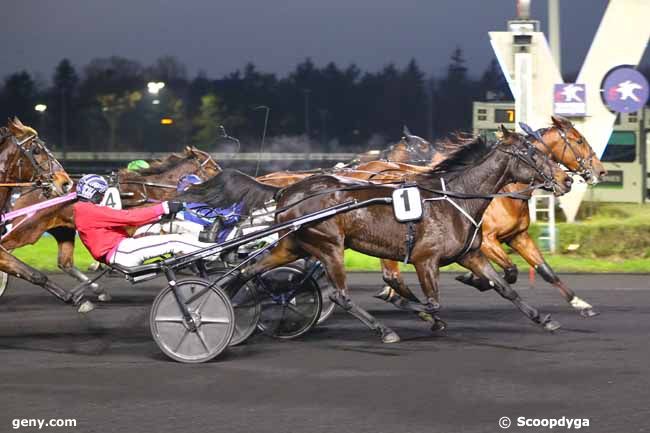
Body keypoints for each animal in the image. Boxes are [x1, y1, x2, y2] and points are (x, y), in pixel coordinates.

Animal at [0, 147, 220, 302]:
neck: (149, 190)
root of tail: (32, 187)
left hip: (63, 229)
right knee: (6, 248)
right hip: (28, 229)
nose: (224, 181)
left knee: (65, 263)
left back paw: (99, 290)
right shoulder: (136, 228)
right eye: (213, 167)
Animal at [180, 132, 568, 340]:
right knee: (340, 295)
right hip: (329, 246)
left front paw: (545, 319)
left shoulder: (469, 254)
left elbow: (505, 287)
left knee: (248, 271)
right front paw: (418, 313)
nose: (564, 180)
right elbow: (431, 302)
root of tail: (288, 191)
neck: (452, 198)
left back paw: (221, 309)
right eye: (532, 154)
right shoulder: (426, 260)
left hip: (292, 244)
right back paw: (384, 330)